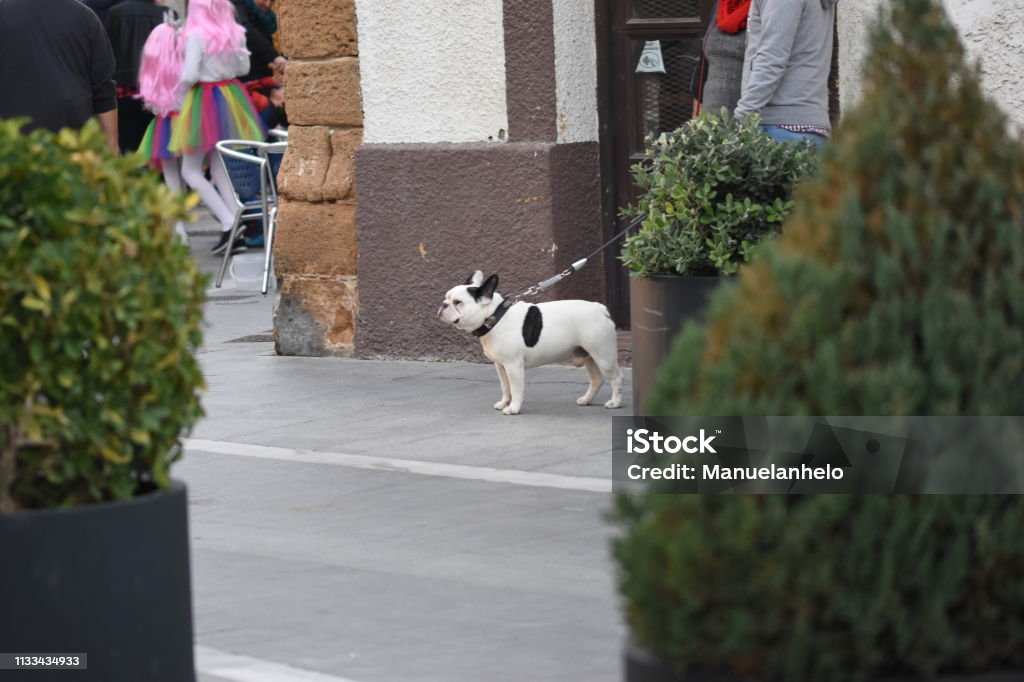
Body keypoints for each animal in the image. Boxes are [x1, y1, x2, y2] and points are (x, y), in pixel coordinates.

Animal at [436, 270, 618, 413]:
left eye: (457, 302)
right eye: (446, 298)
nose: (443, 305)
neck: (495, 317)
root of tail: (600, 308)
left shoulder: (513, 365)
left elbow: (516, 388)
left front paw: (513, 408)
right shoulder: (501, 366)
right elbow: (505, 387)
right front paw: (504, 403)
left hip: (603, 356)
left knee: (616, 378)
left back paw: (615, 402)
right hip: (589, 355)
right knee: (596, 379)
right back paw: (587, 399)